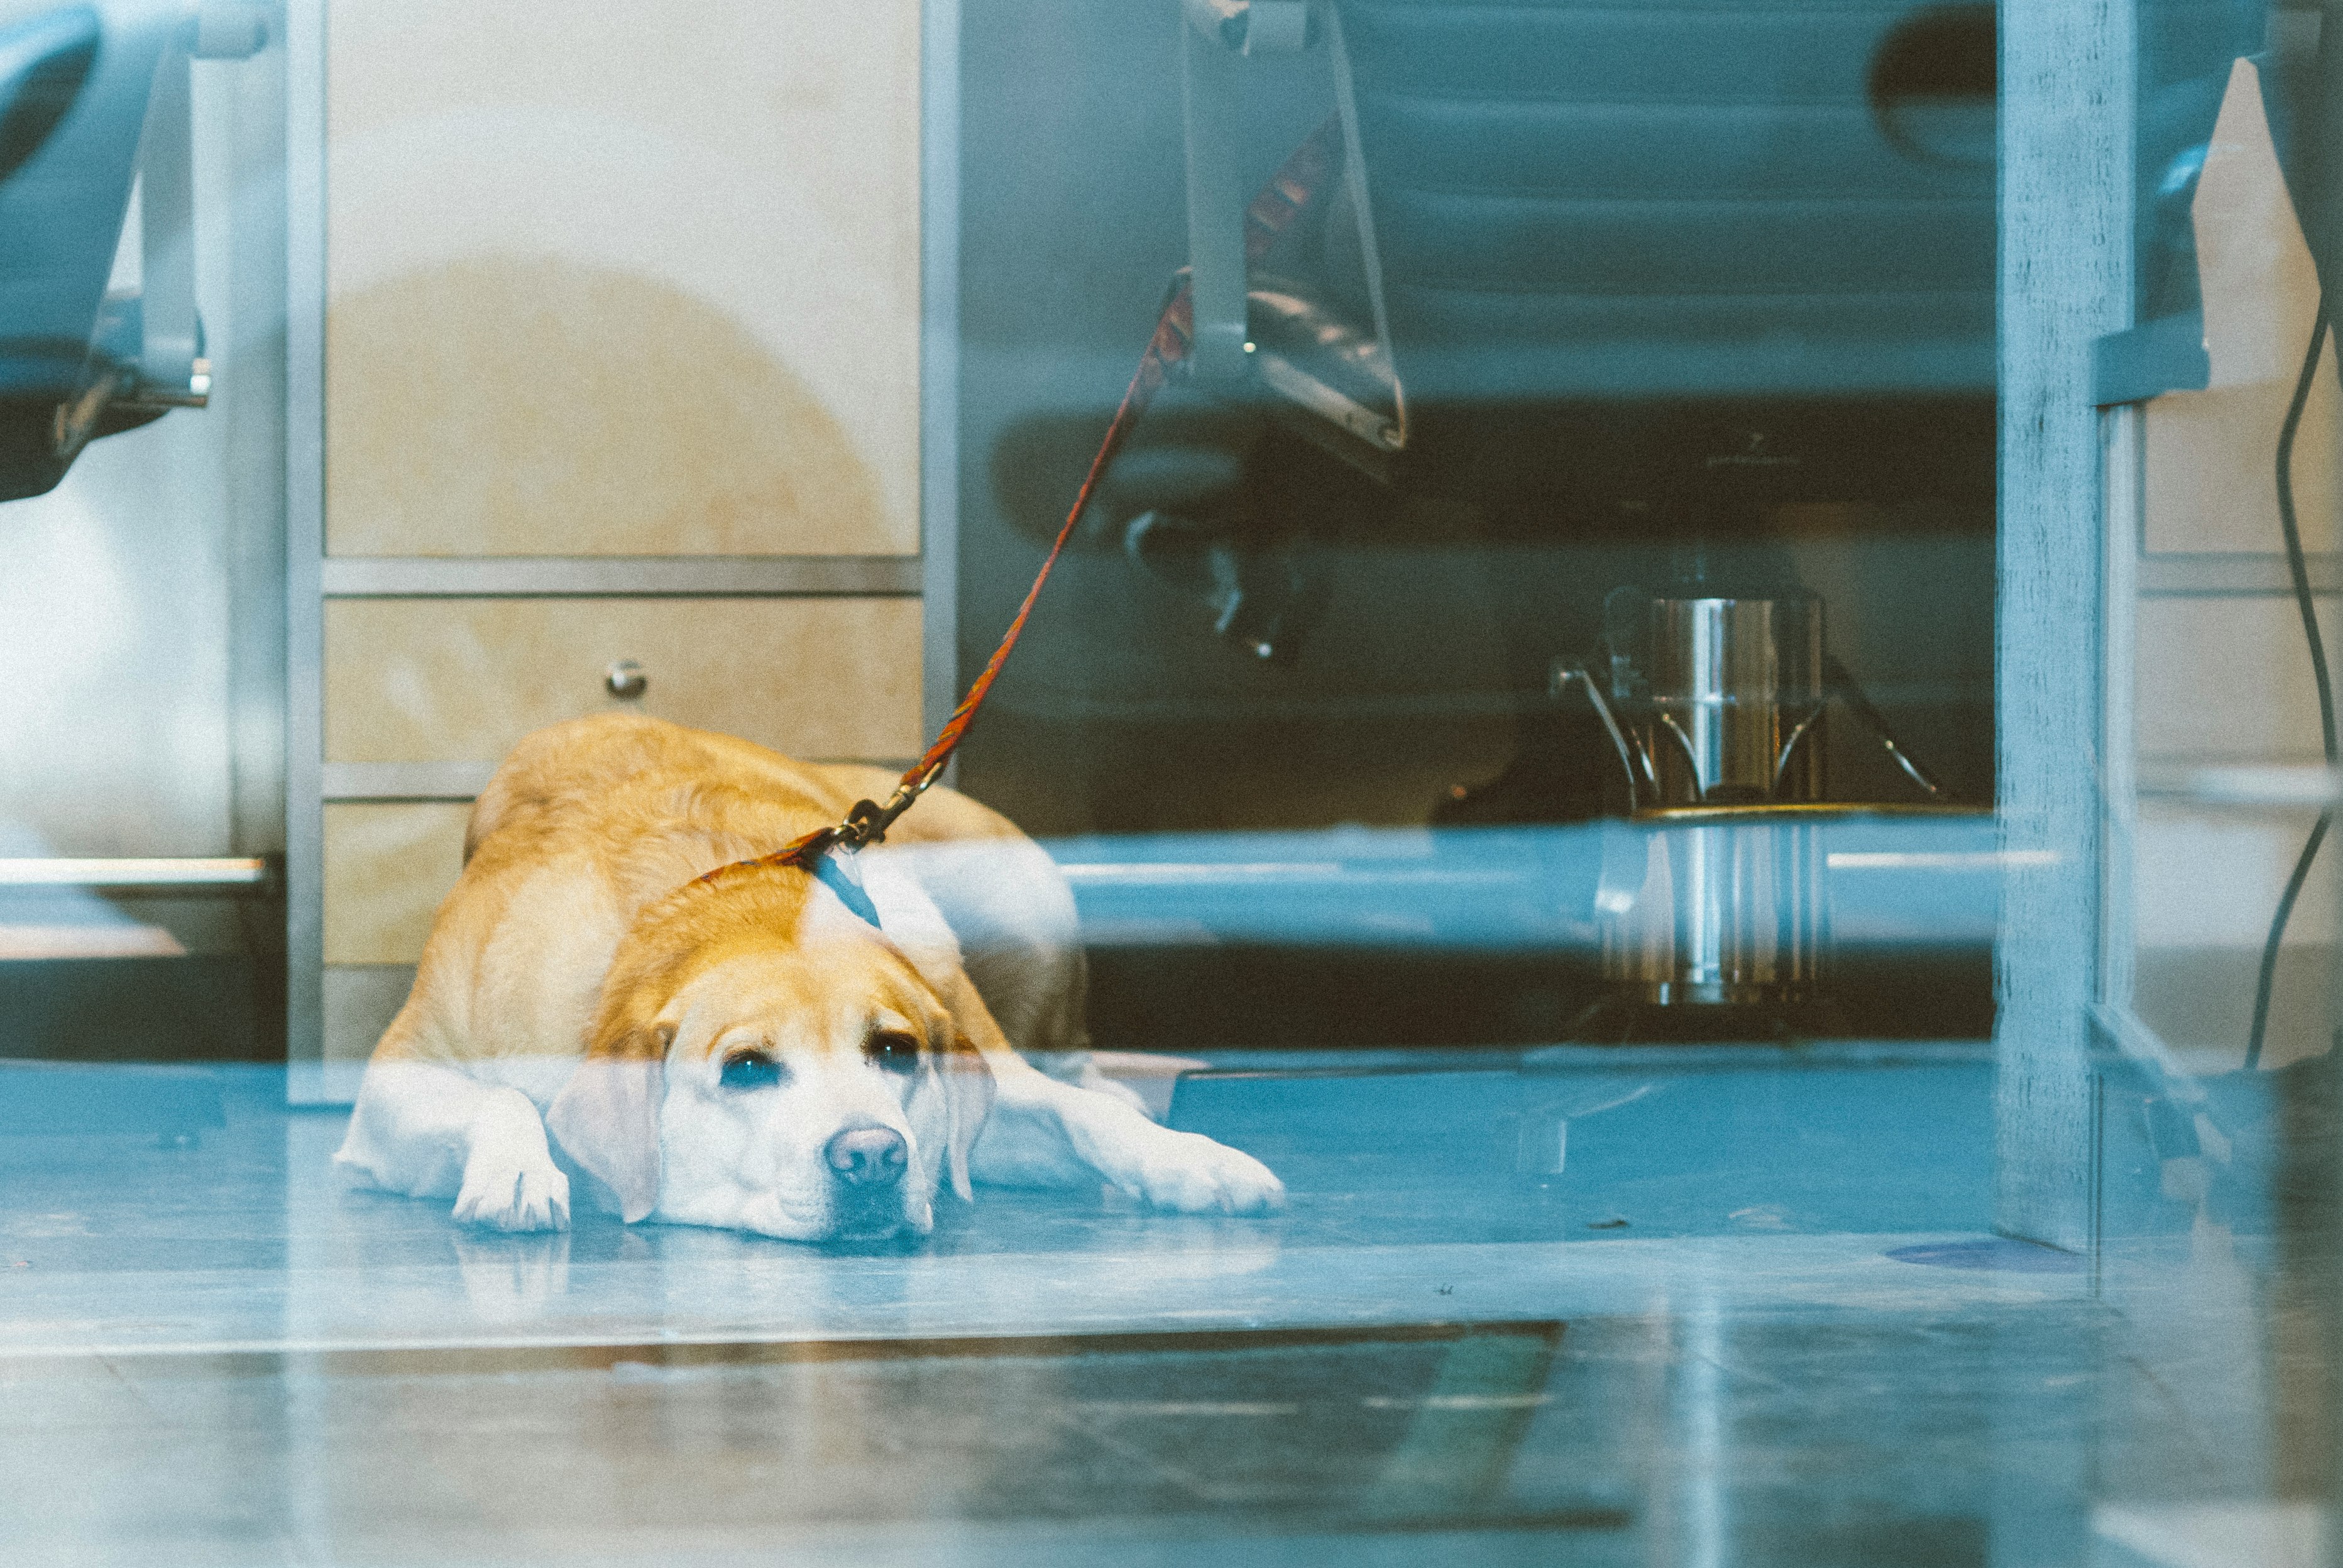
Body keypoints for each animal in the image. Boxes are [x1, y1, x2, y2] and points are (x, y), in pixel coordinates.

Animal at [335, 708, 1283, 1237]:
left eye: (895, 1051)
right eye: (746, 1067)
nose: (873, 1156)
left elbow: (1076, 1116)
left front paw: (1194, 1162)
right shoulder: (395, 1081)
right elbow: (496, 1096)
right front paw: (516, 1172)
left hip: (1026, 897)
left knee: (1075, 1062)